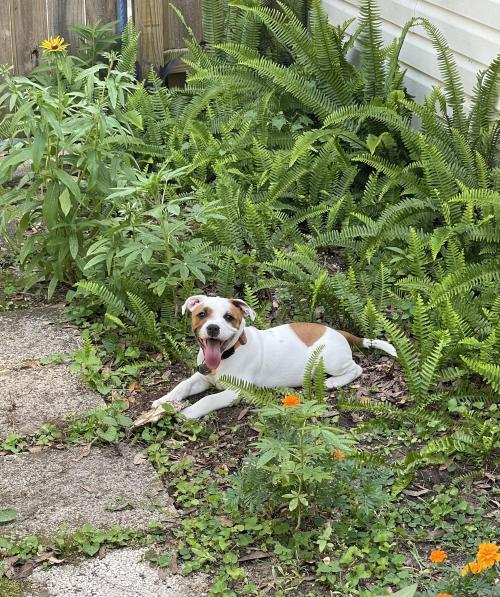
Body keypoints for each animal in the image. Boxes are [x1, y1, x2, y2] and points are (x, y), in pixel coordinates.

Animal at [152, 294, 398, 420]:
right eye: (201, 314)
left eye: (229, 317)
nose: (213, 328)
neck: (228, 354)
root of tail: (338, 331)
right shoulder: (201, 377)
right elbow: (182, 386)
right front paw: (164, 401)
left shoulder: (235, 392)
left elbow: (208, 399)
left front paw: (189, 411)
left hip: (332, 361)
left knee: (357, 368)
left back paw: (334, 382)